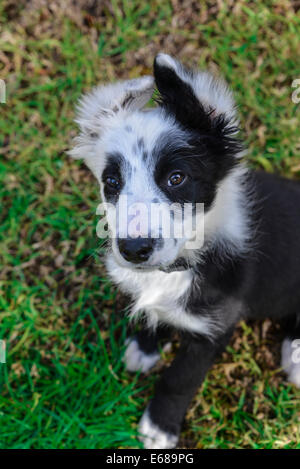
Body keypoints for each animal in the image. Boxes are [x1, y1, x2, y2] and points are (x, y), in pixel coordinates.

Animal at [69, 53, 300, 448]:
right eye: (111, 182)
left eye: (176, 178)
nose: (133, 249)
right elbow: (156, 315)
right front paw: (146, 347)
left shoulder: (214, 328)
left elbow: (178, 381)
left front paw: (159, 427)